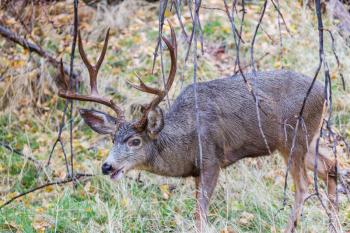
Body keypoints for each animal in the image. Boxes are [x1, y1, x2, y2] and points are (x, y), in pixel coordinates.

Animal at [56, 24, 348, 233]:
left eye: (135, 141)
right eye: (112, 140)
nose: (107, 166)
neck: (183, 140)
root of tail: (323, 92)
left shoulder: (211, 160)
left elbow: (200, 215)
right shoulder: (196, 171)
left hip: (293, 137)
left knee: (303, 185)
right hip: (306, 139)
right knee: (331, 166)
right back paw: (334, 225)